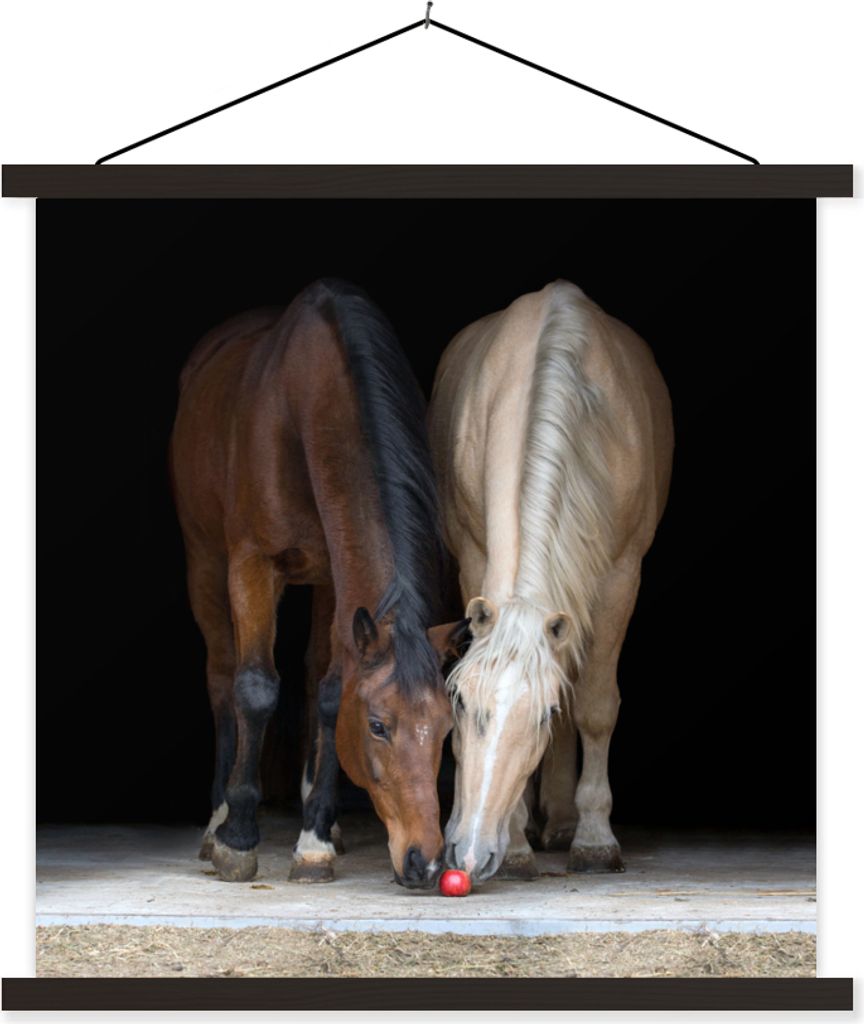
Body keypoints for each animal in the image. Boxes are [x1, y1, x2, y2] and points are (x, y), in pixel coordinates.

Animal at [170, 279, 467, 888]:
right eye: (377, 726)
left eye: (446, 728)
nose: (426, 862)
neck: (304, 411)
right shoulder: (252, 564)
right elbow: (255, 687)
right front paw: (238, 836)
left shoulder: (337, 577)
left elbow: (330, 694)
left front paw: (314, 840)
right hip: (204, 562)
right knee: (222, 675)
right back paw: (217, 819)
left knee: (310, 677)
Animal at [428, 280, 673, 884]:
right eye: (460, 701)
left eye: (541, 714)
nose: (469, 854)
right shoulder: (474, 558)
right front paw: (516, 845)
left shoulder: (620, 576)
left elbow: (594, 706)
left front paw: (594, 839)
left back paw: (563, 825)